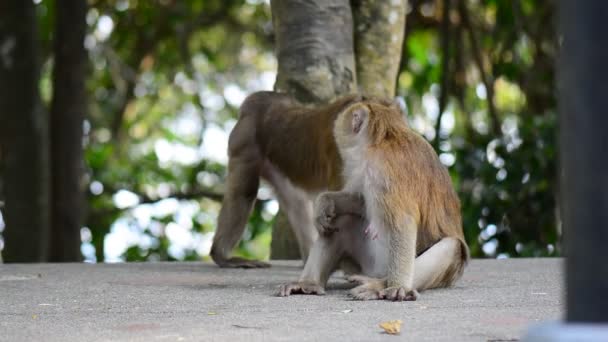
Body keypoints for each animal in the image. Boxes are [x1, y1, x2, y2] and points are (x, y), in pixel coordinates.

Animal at [278, 100, 468, 300]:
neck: (383, 139)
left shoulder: (383, 169)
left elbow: (403, 223)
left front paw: (398, 286)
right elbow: (361, 202)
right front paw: (325, 202)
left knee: (452, 247)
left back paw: (379, 285)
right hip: (367, 264)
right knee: (342, 221)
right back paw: (308, 283)